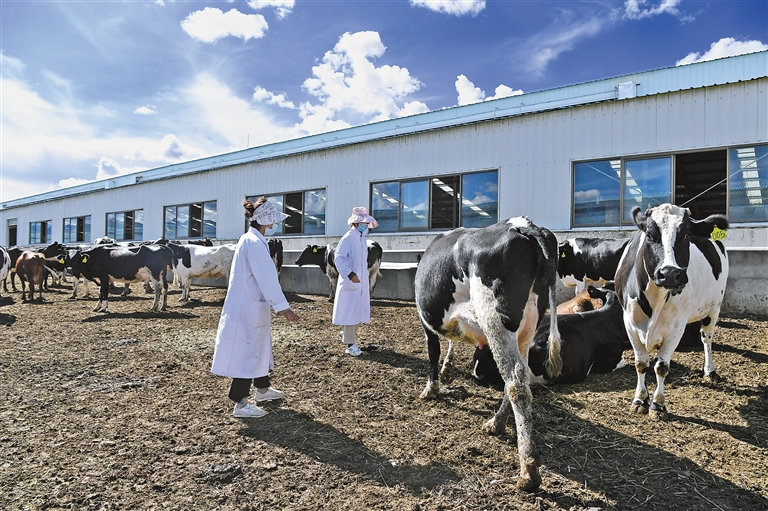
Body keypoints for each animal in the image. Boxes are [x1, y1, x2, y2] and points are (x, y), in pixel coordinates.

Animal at [416, 218, 560, 494]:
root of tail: (524, 226)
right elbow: (451, 342)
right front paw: (448, 371)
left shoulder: (426, 322)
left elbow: (433, 352)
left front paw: (431, 388)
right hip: (528, 325)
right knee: (519, 375)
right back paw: (496, 424)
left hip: (495, 320)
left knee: (515, 382)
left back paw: (528, 472)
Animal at [616, 203, 728, 420]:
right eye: (650, 234)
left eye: (686, 235)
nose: (669, 273)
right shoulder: (629, 322)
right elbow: (641, 363)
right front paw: (639, 400)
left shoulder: (676, 327)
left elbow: (661, 366)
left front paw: (657, 405)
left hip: (714, 307)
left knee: (706, 338)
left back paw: (709, 371)